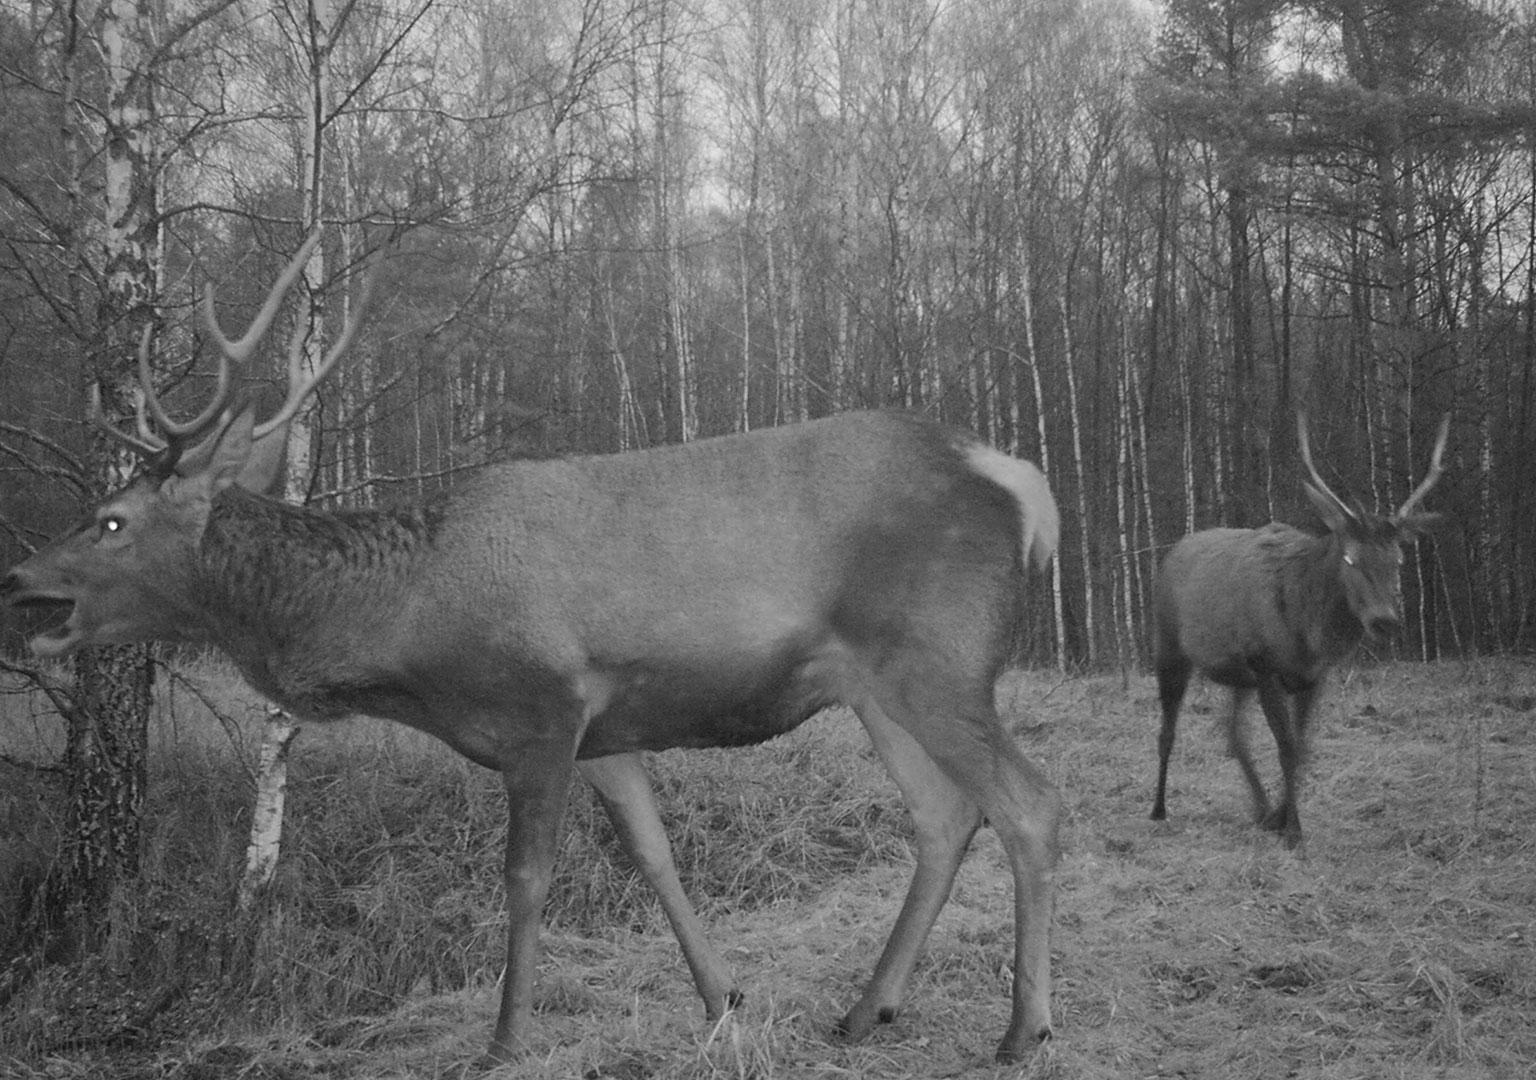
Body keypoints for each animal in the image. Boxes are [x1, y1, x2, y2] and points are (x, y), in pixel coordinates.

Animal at [0, 235, 1062, 1063]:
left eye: (111, 520)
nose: (16, 577)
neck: (409, 624)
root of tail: (1022, 480)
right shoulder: (608, 731)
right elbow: (653, 855)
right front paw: (721, 999)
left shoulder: (544, 707)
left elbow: (525, 879)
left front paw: (505, 1039)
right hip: (873, 685)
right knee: (944, 816)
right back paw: (865, 1009)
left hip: (942, 658)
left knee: (1027, 803)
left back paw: (1021, 1030)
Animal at [1155, 414, 1449, 848]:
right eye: (1350, 558)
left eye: (1397, 559)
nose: (1384, 620)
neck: (1308, 634)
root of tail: (1171, 552)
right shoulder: (1266, 666)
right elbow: (1287, 747)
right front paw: (1293, 830)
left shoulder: (1313, 675)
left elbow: (1303, 746)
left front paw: (1281, 817)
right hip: (1169, 646)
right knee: (1168, 730)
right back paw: (1158, 808)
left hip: (1238, 675)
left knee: (1232, 732)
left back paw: (1260, 810)